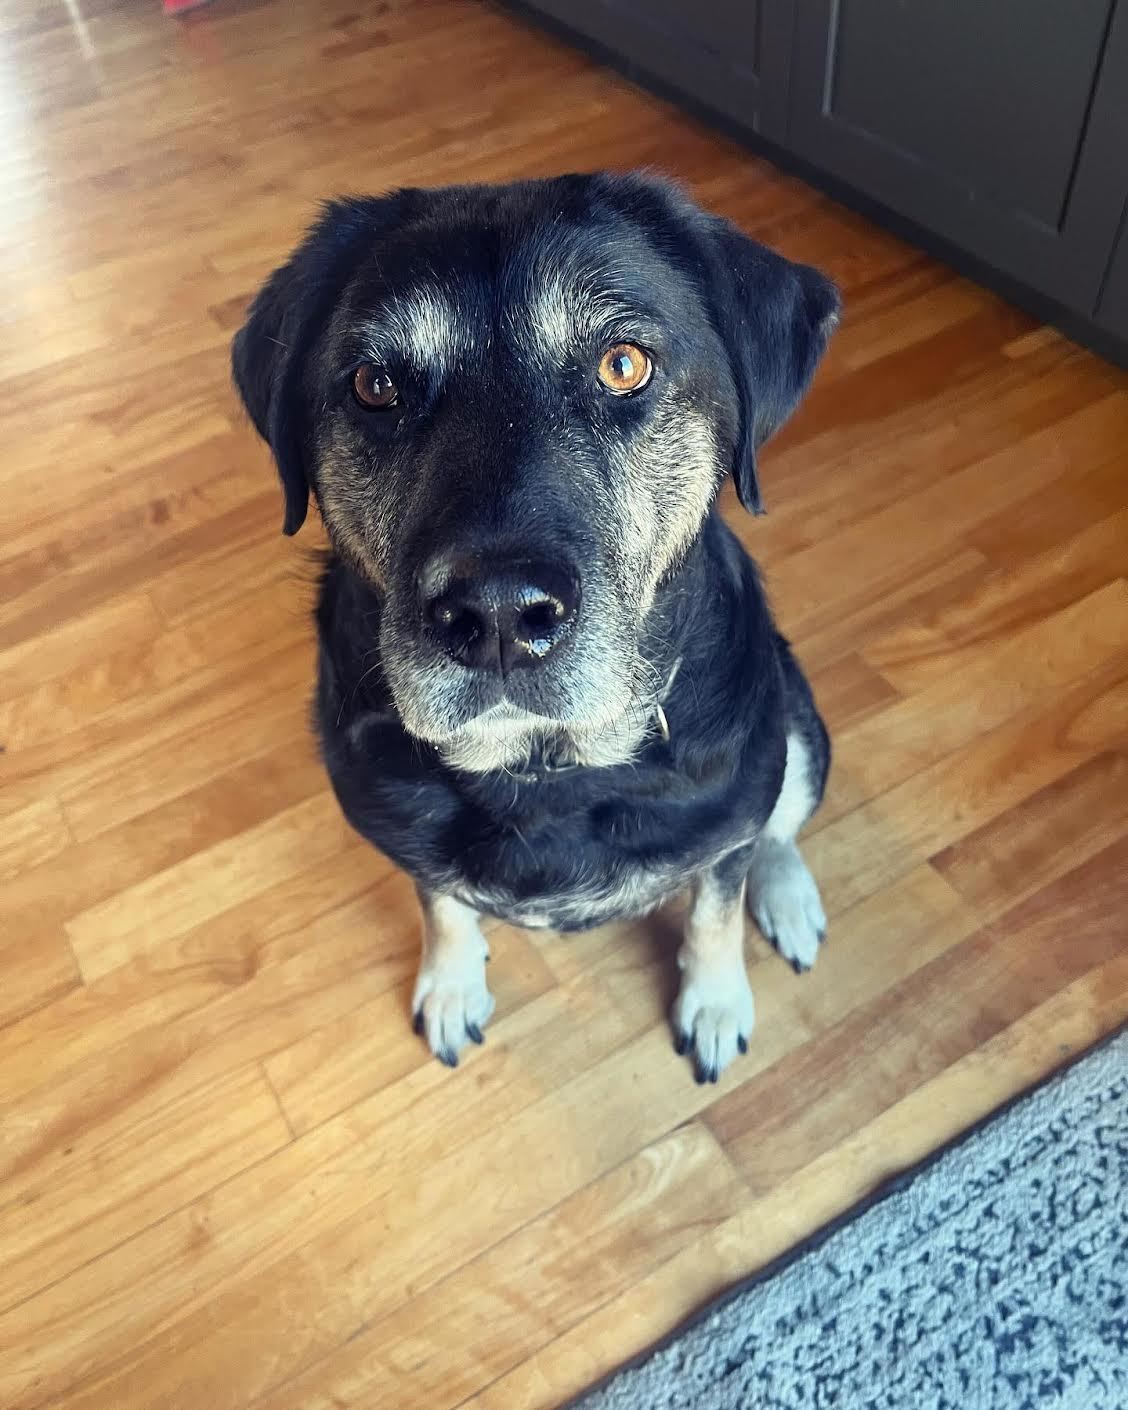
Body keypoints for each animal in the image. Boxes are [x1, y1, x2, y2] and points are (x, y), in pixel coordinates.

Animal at [231, 173, 834, 1077]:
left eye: (623, 365)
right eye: (376, 385)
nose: (498, 617)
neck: (545, 766)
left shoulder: (731, 805)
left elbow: (714, 905)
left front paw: (716, 1001)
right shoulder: (407, 834)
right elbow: (442, 904)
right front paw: (451, 986)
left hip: (796, 721)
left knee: (780, 825)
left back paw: (789, 898)